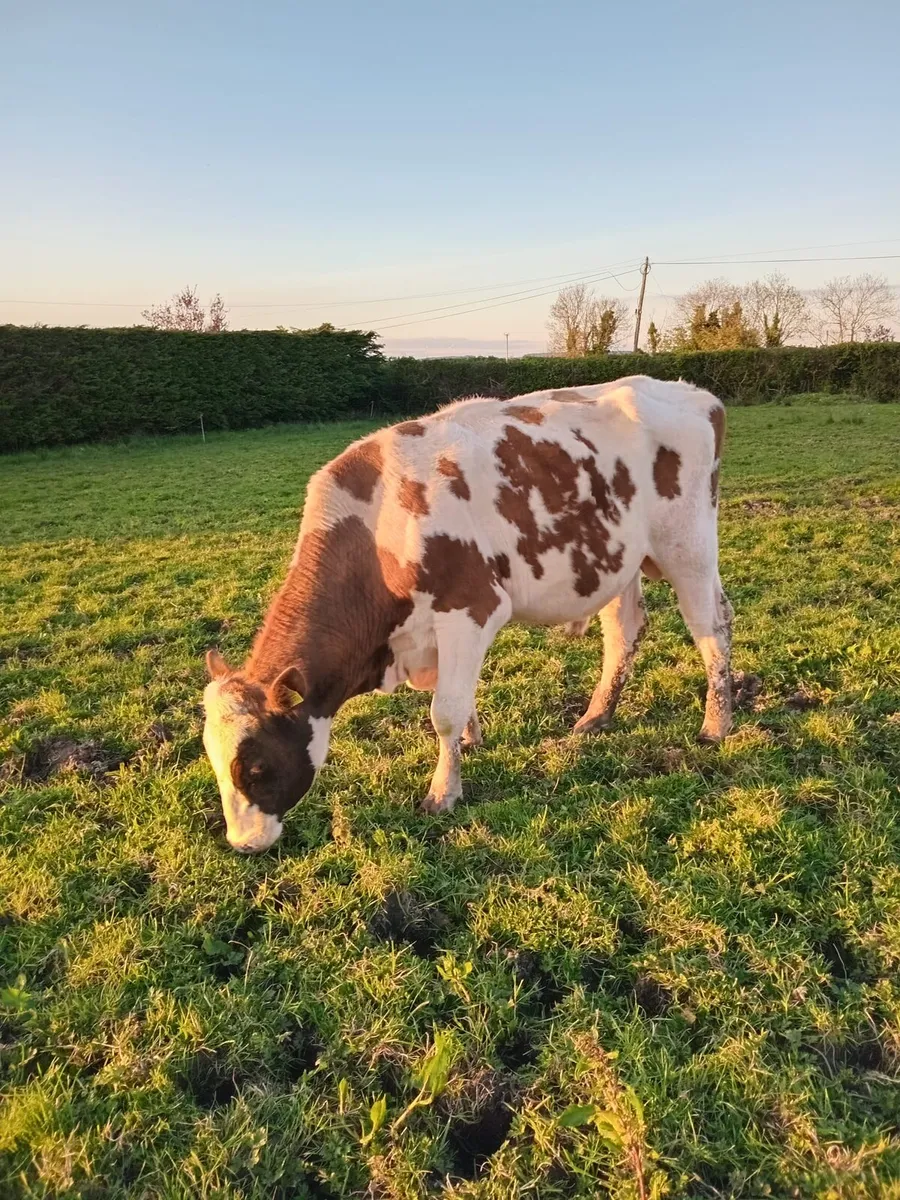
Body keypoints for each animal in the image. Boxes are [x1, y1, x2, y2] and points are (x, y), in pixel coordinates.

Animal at [203, 375, 732, 852]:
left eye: (255, 767)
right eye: (211, 758)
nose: (243, 843)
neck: (381, 526)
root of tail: (692, 392)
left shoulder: (471, 608)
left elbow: (444, 711)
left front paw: (443, 791)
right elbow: (456, 699)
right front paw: (471, 741)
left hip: (689, 548)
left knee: (712, 627)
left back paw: (716, 725)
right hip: (620, 562)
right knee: (625, 633)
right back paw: (596, 717)